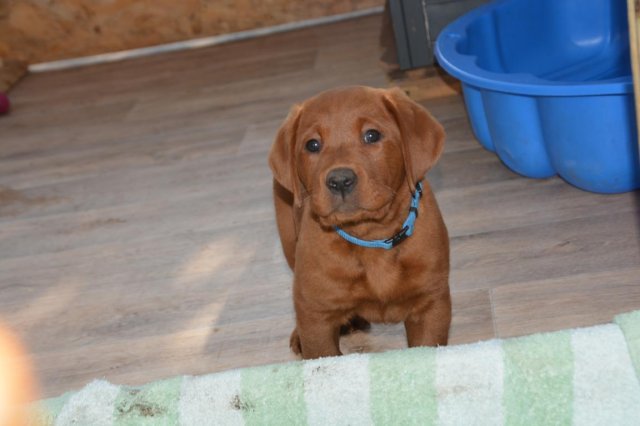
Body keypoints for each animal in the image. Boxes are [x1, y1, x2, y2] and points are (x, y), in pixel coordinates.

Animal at [269, 86, 451, 359]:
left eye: (372, 135)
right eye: (312, 145)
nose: (339, 180)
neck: (370, 235)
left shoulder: (431, 303)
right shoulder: (316, 316)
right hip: (289, 239)